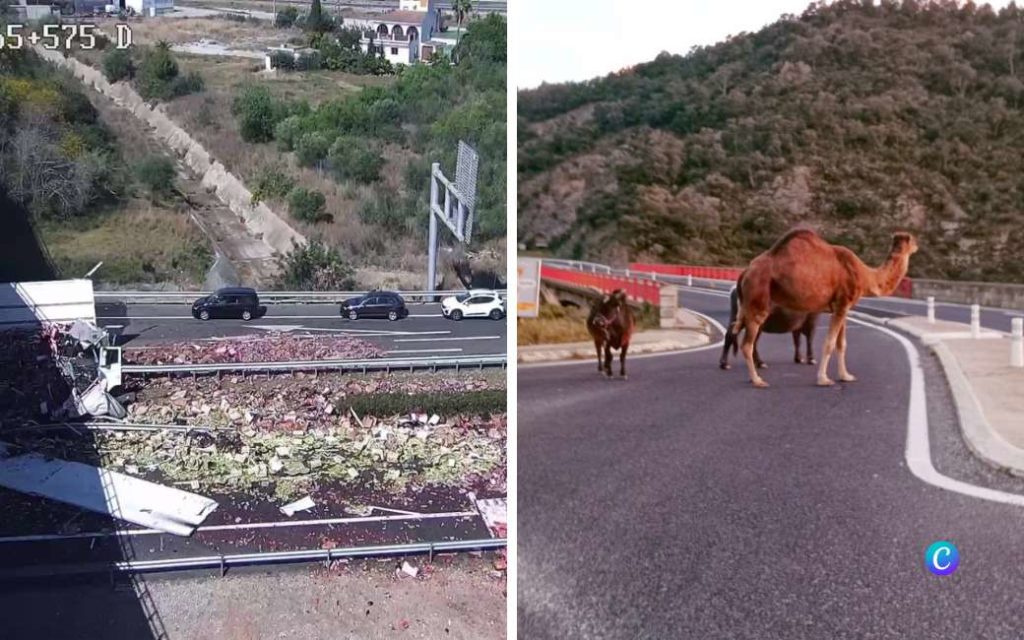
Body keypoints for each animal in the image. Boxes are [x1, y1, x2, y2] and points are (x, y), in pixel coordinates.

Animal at [733, 229, 917, 389]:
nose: (917, 245)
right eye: (913, 240)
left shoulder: (842, 308)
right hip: (758, 298)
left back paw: (753, 376)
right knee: (747, 344)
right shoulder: (842, 303)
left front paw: (846, 376)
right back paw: (757, 380)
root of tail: (745, 273)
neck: (865, 276)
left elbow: (842, 344)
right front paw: (823, 379)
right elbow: (829, 343)